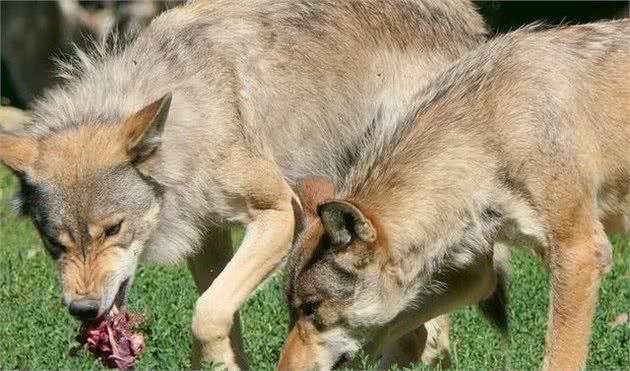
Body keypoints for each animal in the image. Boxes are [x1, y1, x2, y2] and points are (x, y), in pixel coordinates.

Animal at [0, 0, 488, 370]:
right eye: (54, 244)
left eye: (113, 229)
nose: (82, 310)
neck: (191, 114)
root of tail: (468, 17)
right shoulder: (207, 237)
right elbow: (218, 318)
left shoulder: (280, 212)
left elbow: (206, 312)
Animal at [282, 19, 630, 371]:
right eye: (291, 309)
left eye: (312, 308)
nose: (281, 369)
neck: (487, 137)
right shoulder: (476, 274)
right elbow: (395, 327)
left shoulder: (579, 252)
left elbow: (559, 358)